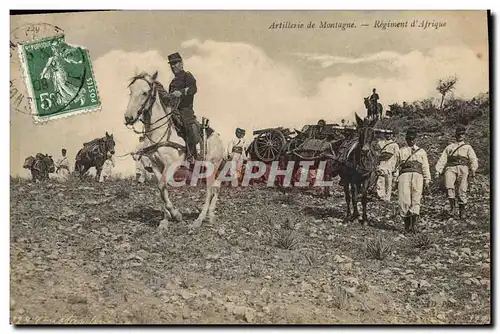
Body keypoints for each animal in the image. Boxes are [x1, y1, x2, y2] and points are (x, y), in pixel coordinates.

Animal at [124, 71, 226, 230]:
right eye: (131, 91)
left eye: (145, 93)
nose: (128, 118)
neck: (159, 132)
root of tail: (218, 138)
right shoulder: (156, 166)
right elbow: (162, 189)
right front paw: (165, 220)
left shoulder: (171, 165)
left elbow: (162, 186)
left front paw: (176, 214)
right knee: (216, 187)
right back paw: (211, 216)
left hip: (212, 166)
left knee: (210, 191)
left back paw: (199, 220)